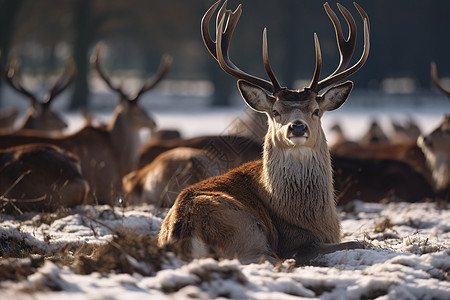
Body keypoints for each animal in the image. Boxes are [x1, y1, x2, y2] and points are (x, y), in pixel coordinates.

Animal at [158, 0, 370, 264]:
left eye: (316, 110)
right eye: (275, 112)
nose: (297, 126)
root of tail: (184, 230)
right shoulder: (295, 240)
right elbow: (359, 242)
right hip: (246, 232)